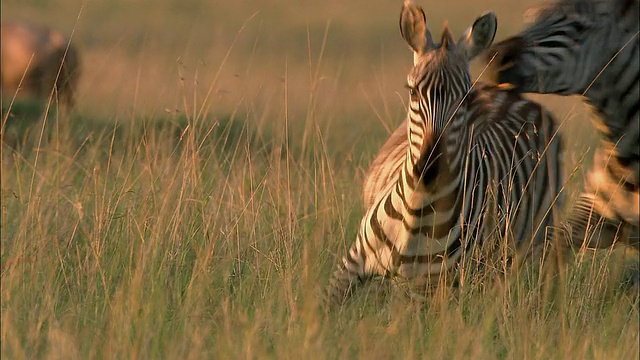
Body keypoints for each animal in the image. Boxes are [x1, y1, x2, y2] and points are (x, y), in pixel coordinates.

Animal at [328, 1, 564, 308]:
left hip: (533, 244)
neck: (416, 208)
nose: (428, 170)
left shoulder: (424, 290)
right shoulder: (351, 265)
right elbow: (324, 305)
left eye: (464, 99)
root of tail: (509, 93)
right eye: (412, 92)